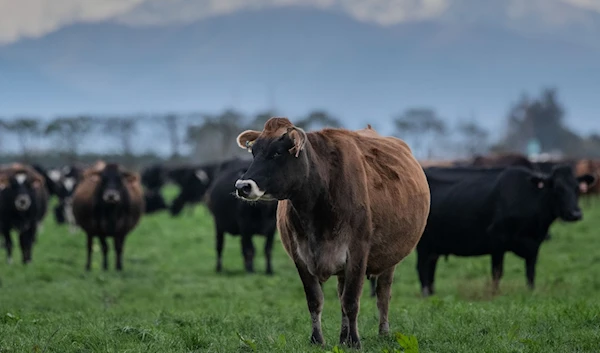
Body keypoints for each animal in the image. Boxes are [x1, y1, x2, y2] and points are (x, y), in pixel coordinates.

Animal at [234, 117, 432, 346]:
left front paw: (355, 342)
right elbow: (315, 300)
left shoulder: (358, 252)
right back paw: (342, 337)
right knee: (341, 294)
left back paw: (382, 333)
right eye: (254, 152)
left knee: (383, 295)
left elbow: (351, 301)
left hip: (390, 258)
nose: (243, 186)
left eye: (277, 153)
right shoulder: (300, 256)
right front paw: (317, 339)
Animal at [418, 164, 596, 296]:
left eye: (577, 188)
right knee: (421, 268)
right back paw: (425, 294)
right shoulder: (497, 240)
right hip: (423, 244)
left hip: (434, 246)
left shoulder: (535, 244)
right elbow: (497, 272)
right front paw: (495, 293)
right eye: (557, 188)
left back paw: (432, 292)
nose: (575, 214)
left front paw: (531, 291)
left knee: (430, 269)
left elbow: (530, 271)